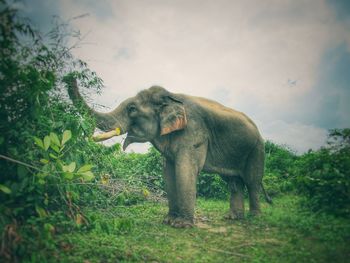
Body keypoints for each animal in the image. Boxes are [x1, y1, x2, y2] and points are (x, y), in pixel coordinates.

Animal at [67, 80, 270, 229]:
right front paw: (168, 221)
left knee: (252, 181)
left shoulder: (194, 131)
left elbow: (185, 170)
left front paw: (182, 225)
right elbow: (169, 173)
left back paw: (254, 217)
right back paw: (232, 218)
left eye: (132, 109)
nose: (70, 76)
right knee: (234, 182)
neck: (171, 96)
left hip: (257, 149)